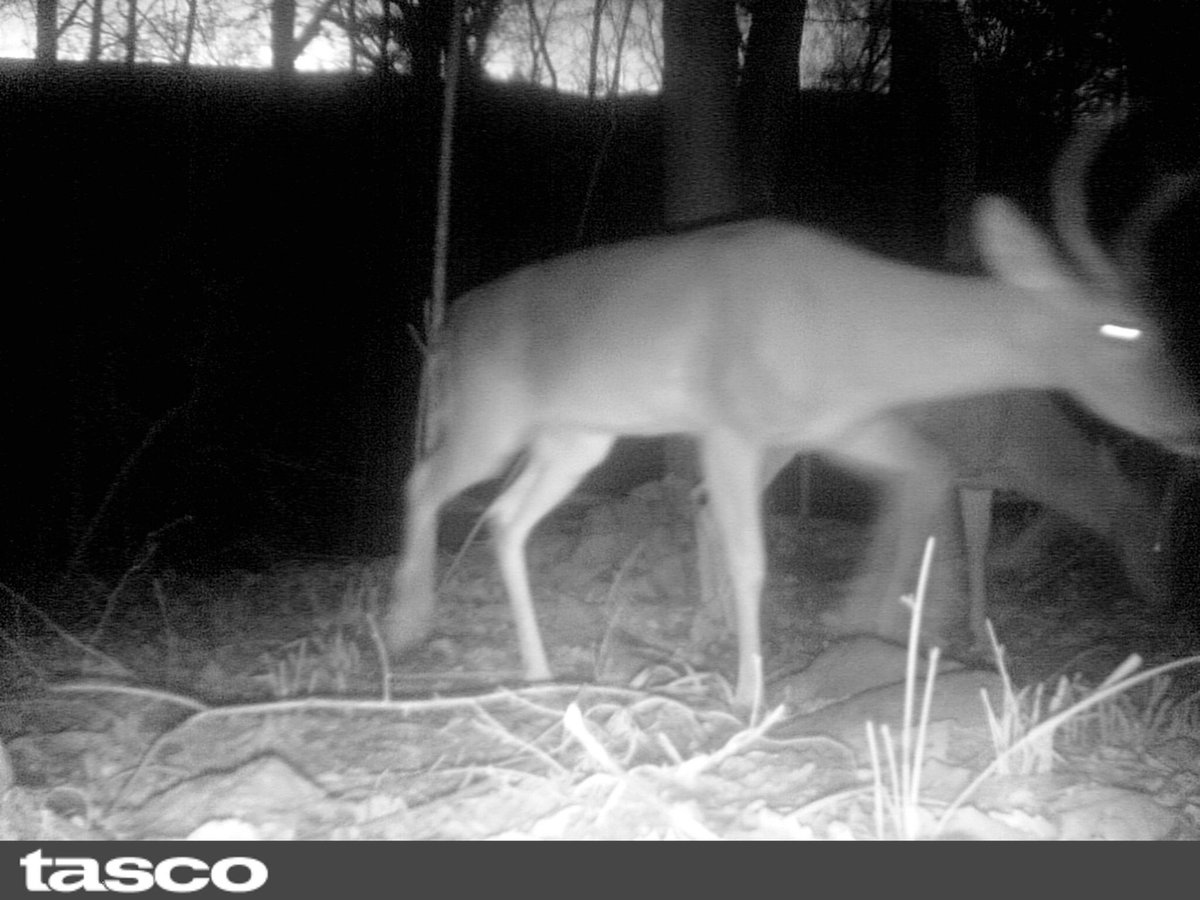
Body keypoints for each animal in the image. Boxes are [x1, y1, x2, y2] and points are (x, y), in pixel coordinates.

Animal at [383, 119, 1200, 711]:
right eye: (1123, 328)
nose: (1187, 419)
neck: (849, 316)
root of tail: (451, 322)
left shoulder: (846, 426)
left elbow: (920, 485)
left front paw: (878, 629)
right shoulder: (731, 427)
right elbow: (753, 556)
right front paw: (750, 690)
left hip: (575, 438)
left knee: (505, 519)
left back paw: (539, 672)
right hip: (490, 418)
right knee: (425, 483)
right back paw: (406, 624)